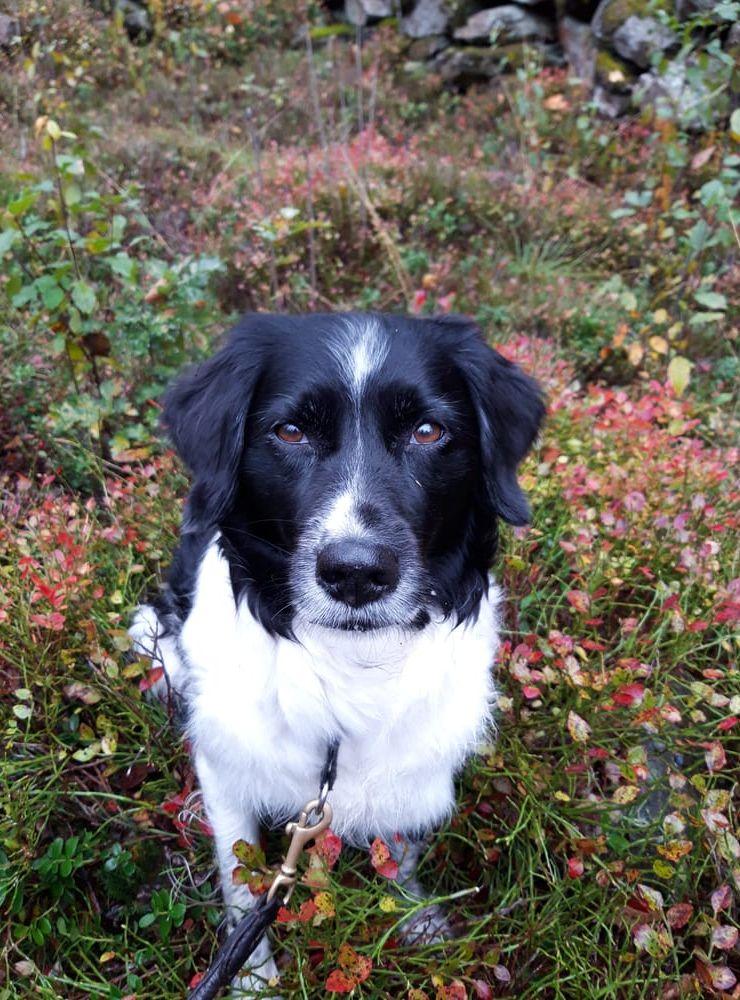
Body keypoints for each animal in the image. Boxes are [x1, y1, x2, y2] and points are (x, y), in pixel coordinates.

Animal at [129, 310, 544, 992]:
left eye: (428, 431)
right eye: (290, 431)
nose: (355, 574)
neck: (349, 663)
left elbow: (399, 852)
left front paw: (419, 924)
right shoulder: (226, 768)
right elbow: (242, 880)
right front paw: (253, 981)